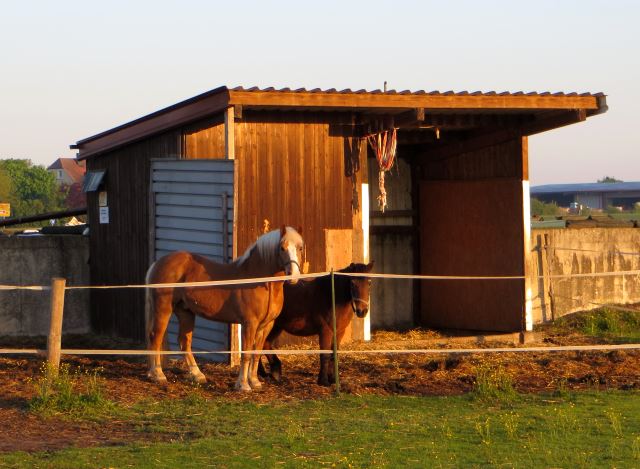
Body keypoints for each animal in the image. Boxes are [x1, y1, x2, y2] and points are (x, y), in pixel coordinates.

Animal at [145, 225, 304, 390]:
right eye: (282, 248)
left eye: (300, 248)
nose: (293, 275)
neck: (260, 281)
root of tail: (158, 263)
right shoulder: (249, 323)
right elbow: (246, 353)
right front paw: (243, 385)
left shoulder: (266, 325)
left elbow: (256, 353)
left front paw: (255, 382)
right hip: (163, 309)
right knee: (155, 337)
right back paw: (158, 375)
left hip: (185, 312)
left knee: (184, 341)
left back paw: (197, 375)